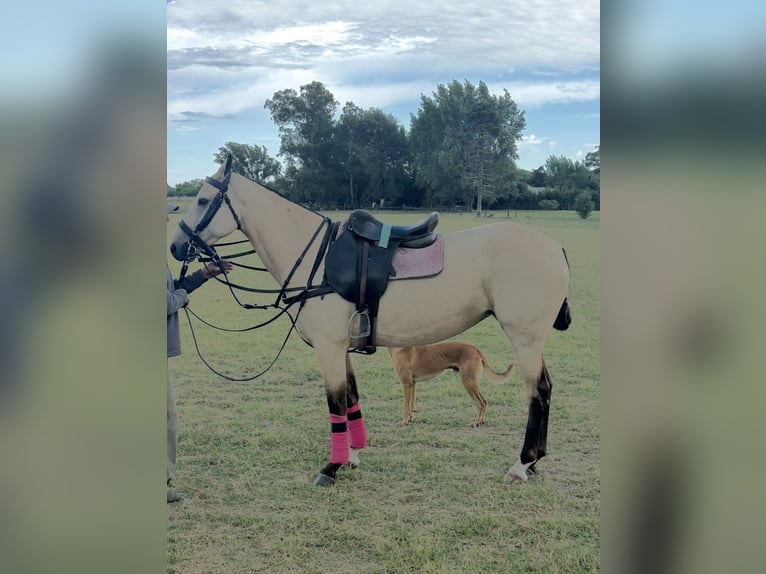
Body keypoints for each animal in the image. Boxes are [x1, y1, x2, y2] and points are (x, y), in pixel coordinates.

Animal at [169, 157, 572, 486]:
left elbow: (335, 403)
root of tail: (555, 248)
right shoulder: (342, 348)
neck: (316, 260)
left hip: (524, 338)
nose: (175, 247)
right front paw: (352, 456)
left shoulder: (328, 348)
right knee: (547, 388)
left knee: (537, 392)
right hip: (531, 340)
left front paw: (330, 468)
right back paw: (536, 461)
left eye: (203, 200)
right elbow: (351, 398)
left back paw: (521, 464)